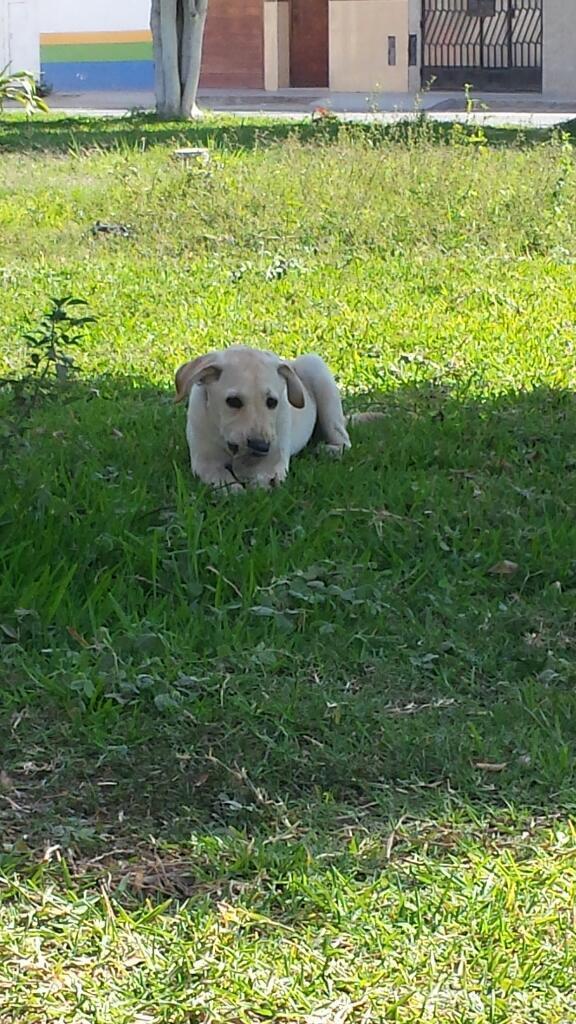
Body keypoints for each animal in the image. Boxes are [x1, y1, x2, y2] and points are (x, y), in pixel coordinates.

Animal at [172, 346, 350, 489]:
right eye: (233, 401)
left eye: (272, 402)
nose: (261, 446)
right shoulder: (204, 462)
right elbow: (222, 479)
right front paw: (234, 490)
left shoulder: (274, 461)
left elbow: (262, 480)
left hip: (316, 370)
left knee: (344, 440)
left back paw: (329, 450)